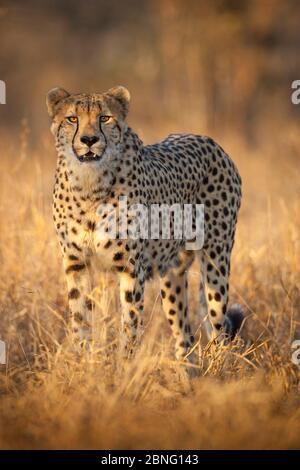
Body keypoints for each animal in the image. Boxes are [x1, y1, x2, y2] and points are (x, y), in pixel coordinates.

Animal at [47, 84, 244, 364]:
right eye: (72, 119)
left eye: (104, 118)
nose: (89, 140)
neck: (90, 185)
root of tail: (209, 140)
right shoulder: (77, 264)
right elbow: (80, 320)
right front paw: (84, 362)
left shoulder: (131, 268)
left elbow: (130, 324)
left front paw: (123, 366)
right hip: (172, 275)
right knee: (185, 338)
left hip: (216, 261)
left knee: (218, 329)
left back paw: (219, 368)